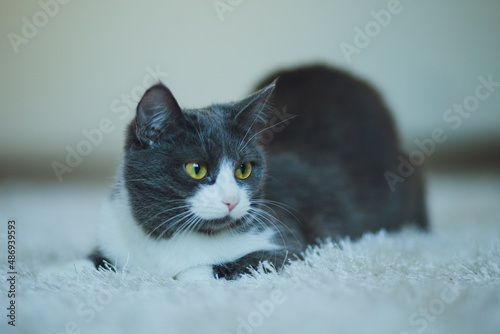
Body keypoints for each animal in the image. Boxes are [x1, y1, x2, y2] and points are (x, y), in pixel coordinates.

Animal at [89, 64, 426, 280]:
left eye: (244, 169)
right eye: (196, 169)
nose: (232, 200)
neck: (162, 239)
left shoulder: (285, 242)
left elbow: (202, 271)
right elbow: (94, 262)